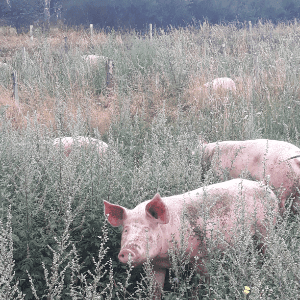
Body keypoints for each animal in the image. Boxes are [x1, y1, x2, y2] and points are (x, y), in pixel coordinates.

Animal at [103, 178, 276, 296]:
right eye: (126, 230)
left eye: (146, 229)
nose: (127, 251)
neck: (166, 256)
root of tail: (268, 189)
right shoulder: (155, 264)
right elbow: (155, 289)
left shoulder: (201, 256)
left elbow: (202, 283)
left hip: (266, 231)